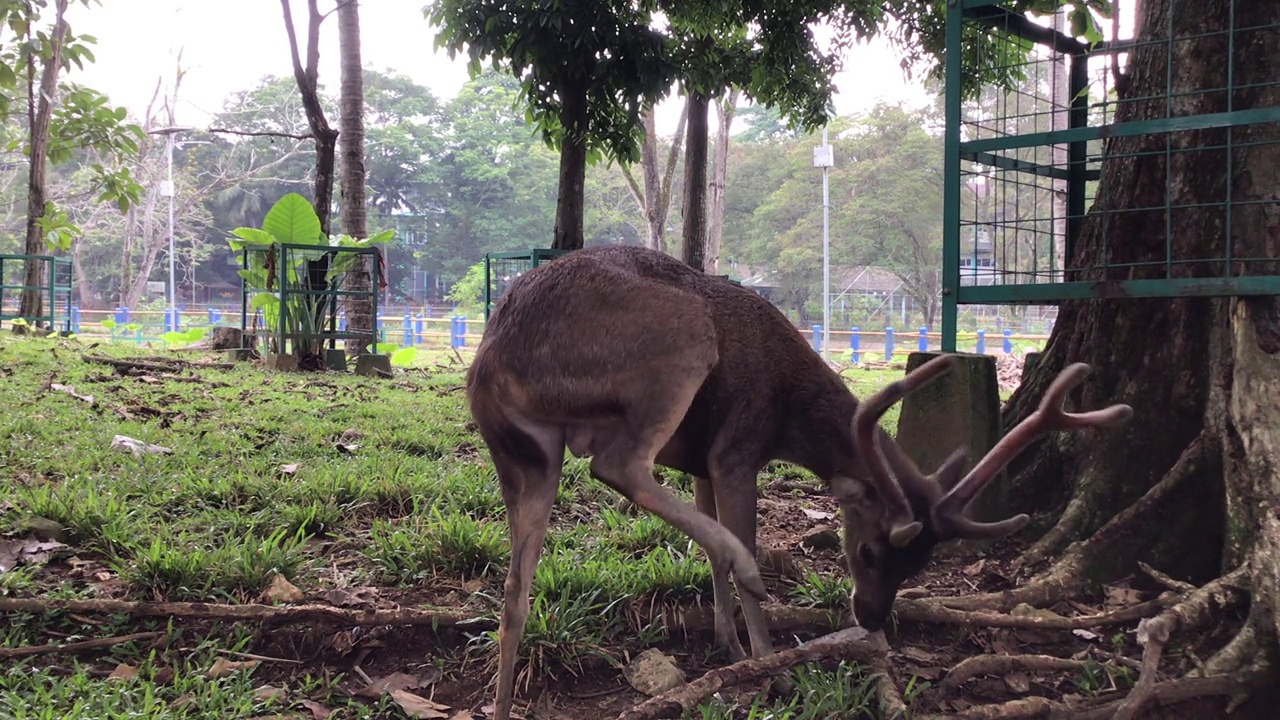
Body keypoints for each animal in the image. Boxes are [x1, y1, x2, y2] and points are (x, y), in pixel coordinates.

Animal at [468, 242, 1131, 717]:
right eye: (868, 551)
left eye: (918, 565)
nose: (871, 616)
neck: (790, 416)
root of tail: (492, 355)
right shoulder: (736, 449)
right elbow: (733, 543)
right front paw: (767, 666)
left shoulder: (702, 462)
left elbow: (708, 555)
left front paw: (729, 646)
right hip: (679, 339)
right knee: (619, 465)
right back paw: (754, 576)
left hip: (524, 454)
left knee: (515, 588)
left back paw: (499, 705)